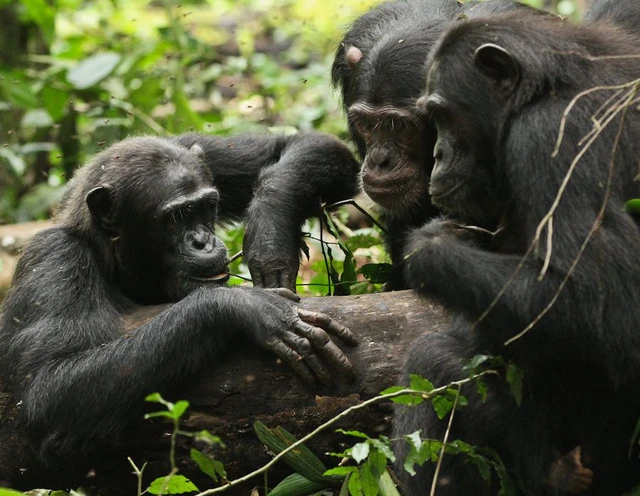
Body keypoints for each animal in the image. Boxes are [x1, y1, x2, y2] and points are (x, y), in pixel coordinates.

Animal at [0, 131, 360, 468]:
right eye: (177, 216)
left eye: (206, 206)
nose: (203, 241)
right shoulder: (54, 259)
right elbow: (47, 393)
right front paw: (244, 307)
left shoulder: (200, 152)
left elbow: (303, 144)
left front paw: (270, 236)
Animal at [392, 7, 640, 496]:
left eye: (442, 115)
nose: (439, 154)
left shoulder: (549, 140)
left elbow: (605, 305)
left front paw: (431, 247)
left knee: (428, 357)